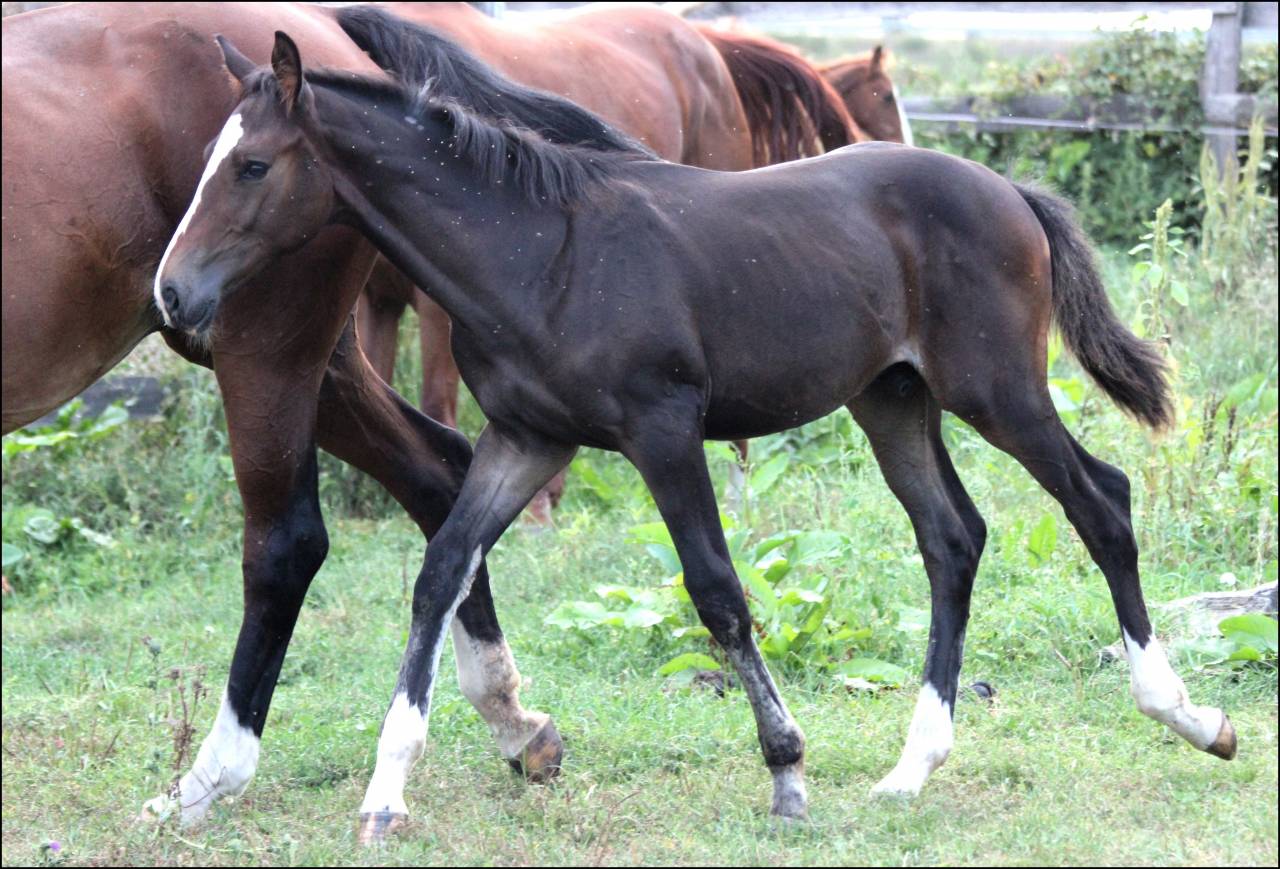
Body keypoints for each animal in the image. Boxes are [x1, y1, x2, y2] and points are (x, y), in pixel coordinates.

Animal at [3, 0, 568, 828]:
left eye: (250, 166)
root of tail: (319, 23)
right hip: (314, 366)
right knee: (439, 473)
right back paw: (513, 720)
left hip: (267, 355)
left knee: (287, 544)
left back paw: (206, 780)